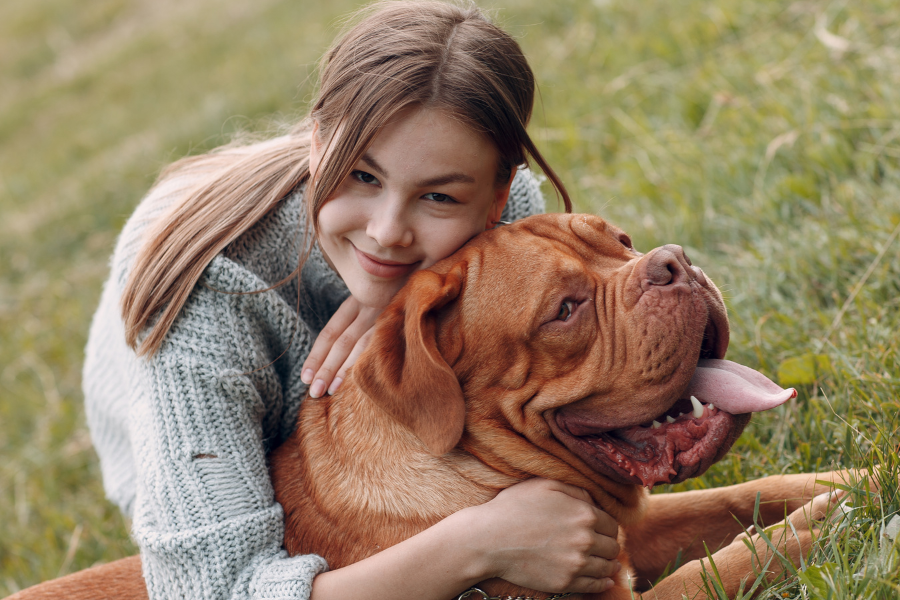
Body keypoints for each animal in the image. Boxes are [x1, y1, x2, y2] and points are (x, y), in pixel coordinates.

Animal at [5, 213, 864, 596]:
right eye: (566, 309)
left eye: (619, 241)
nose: (674, 262)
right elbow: (730, 560)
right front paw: (818, 528)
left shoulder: (630, 529)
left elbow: (748, 493)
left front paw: (853, 483)